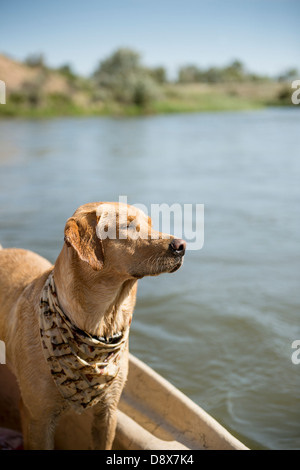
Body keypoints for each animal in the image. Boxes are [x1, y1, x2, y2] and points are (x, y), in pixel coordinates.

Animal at [0, 201, 185, 448]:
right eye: (127, 226)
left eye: (150, 224)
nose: (181, 246)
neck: (101, 325)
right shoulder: (38, 417)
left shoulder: (108, 410)